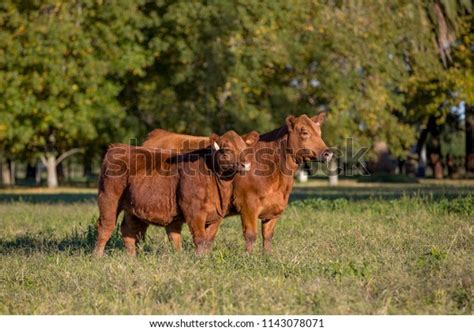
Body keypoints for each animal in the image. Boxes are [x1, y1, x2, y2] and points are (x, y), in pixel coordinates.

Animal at [143, 114, 332, 254]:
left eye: (320, 131)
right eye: (304, 131)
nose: (328, 153)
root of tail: (159, 133)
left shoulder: (274, 209)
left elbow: (268, 236)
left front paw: (267, 257)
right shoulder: (248, 204)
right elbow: (251, 234)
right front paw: (249, 258)